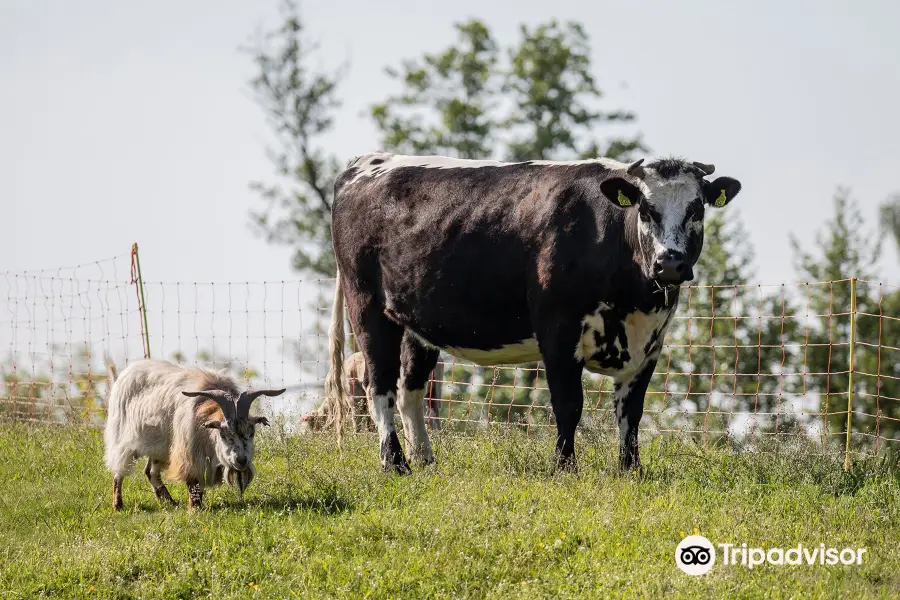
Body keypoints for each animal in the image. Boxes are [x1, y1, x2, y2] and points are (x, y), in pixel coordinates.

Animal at [103, 358, 284, 508]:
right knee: (119, 470)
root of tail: (125, 373)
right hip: (122, 439)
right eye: (223, 435)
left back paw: (169, 502)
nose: (241, 460)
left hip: (160, 447)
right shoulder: (190, 455)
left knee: (151, 472)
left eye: (251, 433)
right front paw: (195, 509)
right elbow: (194, 483)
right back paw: (118, 505)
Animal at [322, 154, 740, 474]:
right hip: (368, 306)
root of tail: (364, 163)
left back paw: (425, 460)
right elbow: (568, 405)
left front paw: (630, 470)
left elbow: (631, 411)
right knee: (380, 385)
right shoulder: (558, 331)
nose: (669, 263)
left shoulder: (650, 343)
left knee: (410, 387)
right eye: (647, 210)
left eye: (696, 210)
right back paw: (394, 464)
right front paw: (565, 469)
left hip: (416, 321)